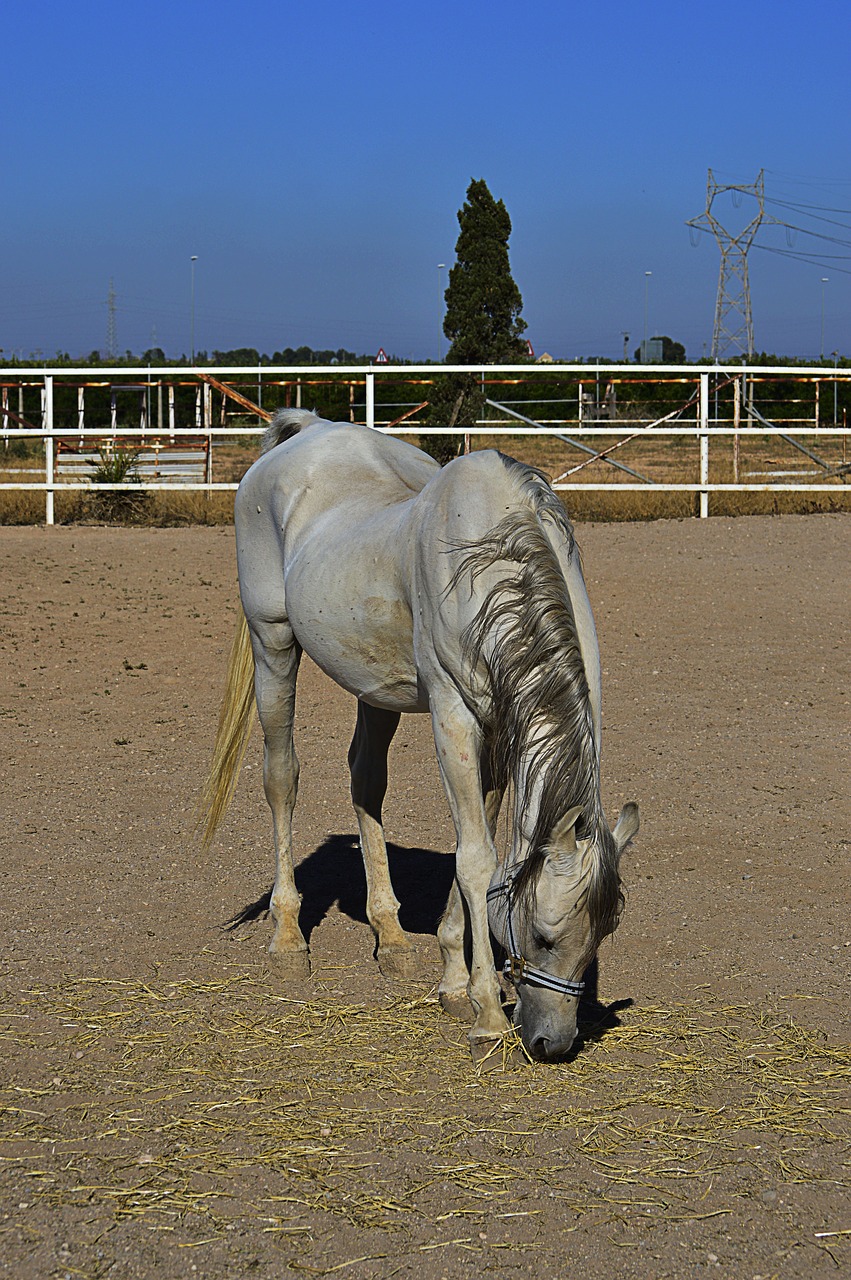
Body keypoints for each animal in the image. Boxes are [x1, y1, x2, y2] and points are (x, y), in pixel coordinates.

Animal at [200, 412, 637, 1059]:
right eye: (542, 934)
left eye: (601, 933)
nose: (553, 1043)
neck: (494, 562)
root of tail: (309, 430)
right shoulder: (453, 717)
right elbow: (477, 859)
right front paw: (486, 1012)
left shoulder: (498, 728)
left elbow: (475, 848)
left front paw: (453, 983)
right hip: (271, 643)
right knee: (281, 778)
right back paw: (288, 939)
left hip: (373, 684)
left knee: (365, 782)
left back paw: (390, 936)